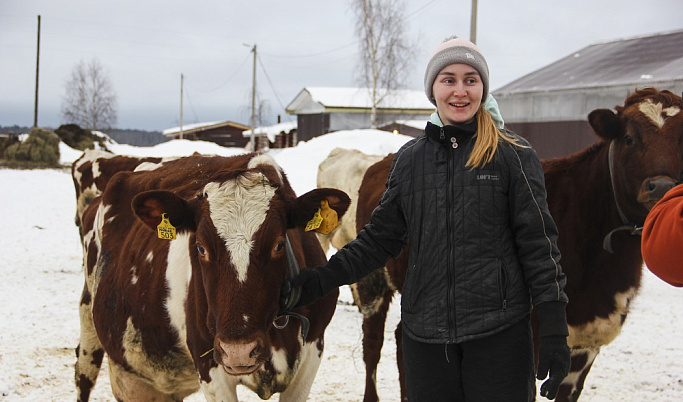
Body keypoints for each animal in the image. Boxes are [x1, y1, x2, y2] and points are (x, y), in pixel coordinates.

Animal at [75, 152, 350, 400]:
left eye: (279, 244)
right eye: (200, 247)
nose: (239, 351)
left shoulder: (312, 353)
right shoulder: (210, 364)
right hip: (90, 318)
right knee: (84, 373)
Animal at [352, 88, 683, 402]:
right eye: (629, 138)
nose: (662, 187)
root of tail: (384, 160)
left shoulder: (586, 346)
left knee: (401, 339)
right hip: (373, 282)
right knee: (373, 343)